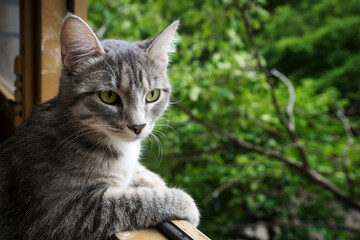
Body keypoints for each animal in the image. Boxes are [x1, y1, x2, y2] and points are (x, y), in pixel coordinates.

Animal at [0, 15, 200, 240]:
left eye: (152, 95)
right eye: (108, 96)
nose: (138, 126)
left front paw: (151, 178)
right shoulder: (61, 215)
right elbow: (132, 203)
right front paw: (184, 201)